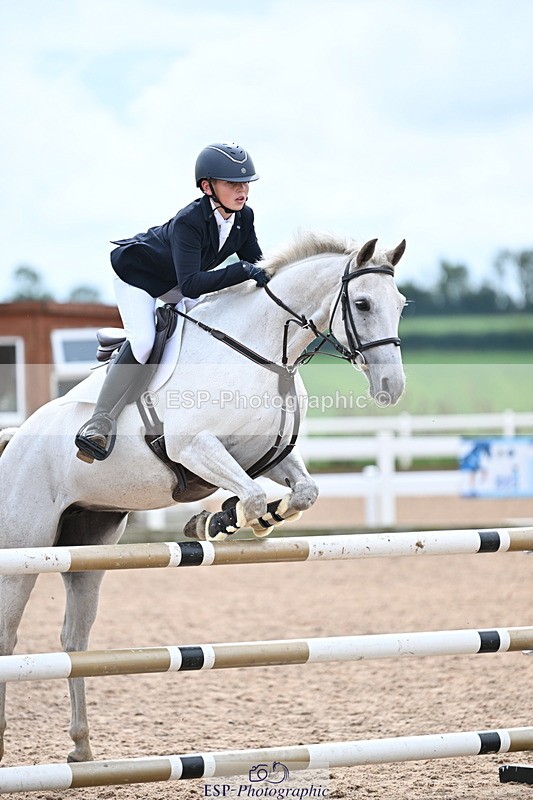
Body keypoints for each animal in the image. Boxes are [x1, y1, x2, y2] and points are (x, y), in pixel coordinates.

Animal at [0, 232, 407, 763]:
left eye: (400, 304)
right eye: (361, 303)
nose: (391, 387)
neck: (263, 351)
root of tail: (16, 439)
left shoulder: (266, 455)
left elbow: (300, 492)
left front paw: (234, 521)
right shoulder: (194, 447)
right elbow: (250, 494)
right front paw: (217, 522)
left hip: (88, 544)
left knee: (75, 641)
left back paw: (82, 749)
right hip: (23, 548)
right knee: (8, 638)